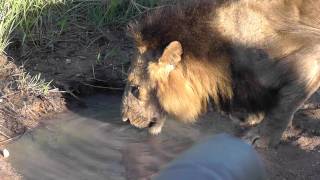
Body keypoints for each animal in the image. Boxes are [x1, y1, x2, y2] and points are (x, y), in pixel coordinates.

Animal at [120, 0, 320, 148]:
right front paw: (249, 117)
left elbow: (282, 107)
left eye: (135, 89)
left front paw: (261, 137)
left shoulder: (309, 58)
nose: (125, 120)